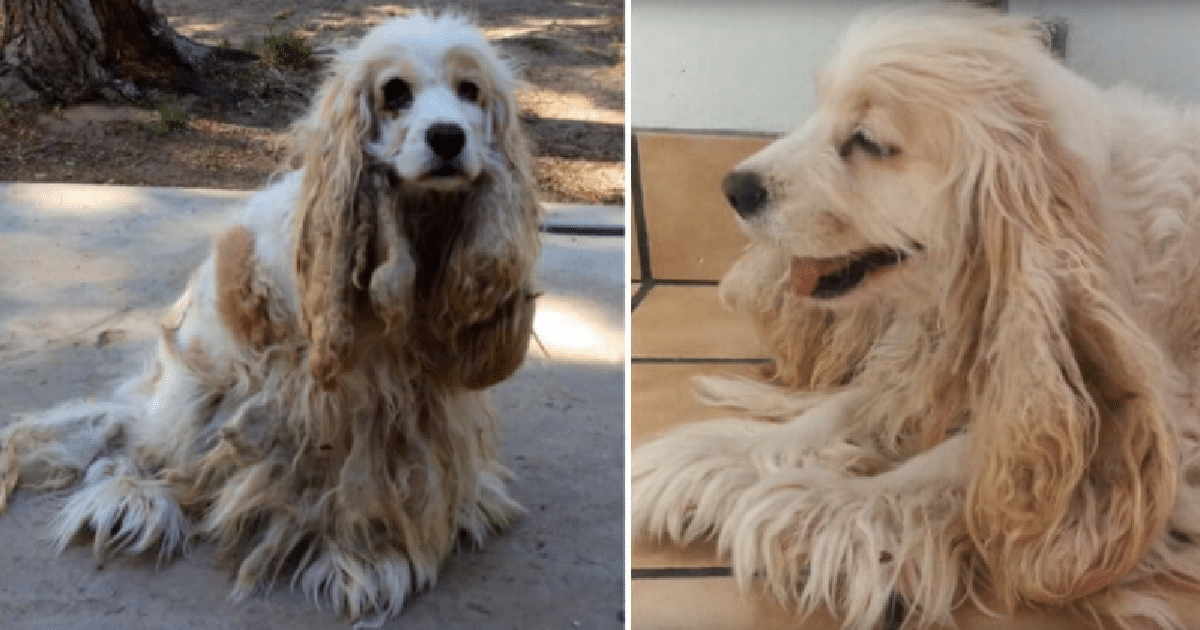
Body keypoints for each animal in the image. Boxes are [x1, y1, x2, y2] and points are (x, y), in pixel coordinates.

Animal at [0, 12, 540, 619]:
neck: (413, 230)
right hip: (194, 392)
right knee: (134, 449)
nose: (448, 136)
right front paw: (365, 560)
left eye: (470, 91)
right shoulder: (339, 398)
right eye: (394, 93)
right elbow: (355, 478)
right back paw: (136, 501)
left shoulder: (419, 397)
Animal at [638, 6, 1200, 628]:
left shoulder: (1163, 427)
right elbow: (845, 408)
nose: (733, 187)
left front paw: (823, 503)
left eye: (868, 141)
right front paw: (720, 453)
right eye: (818, 111)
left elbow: (966, 460)